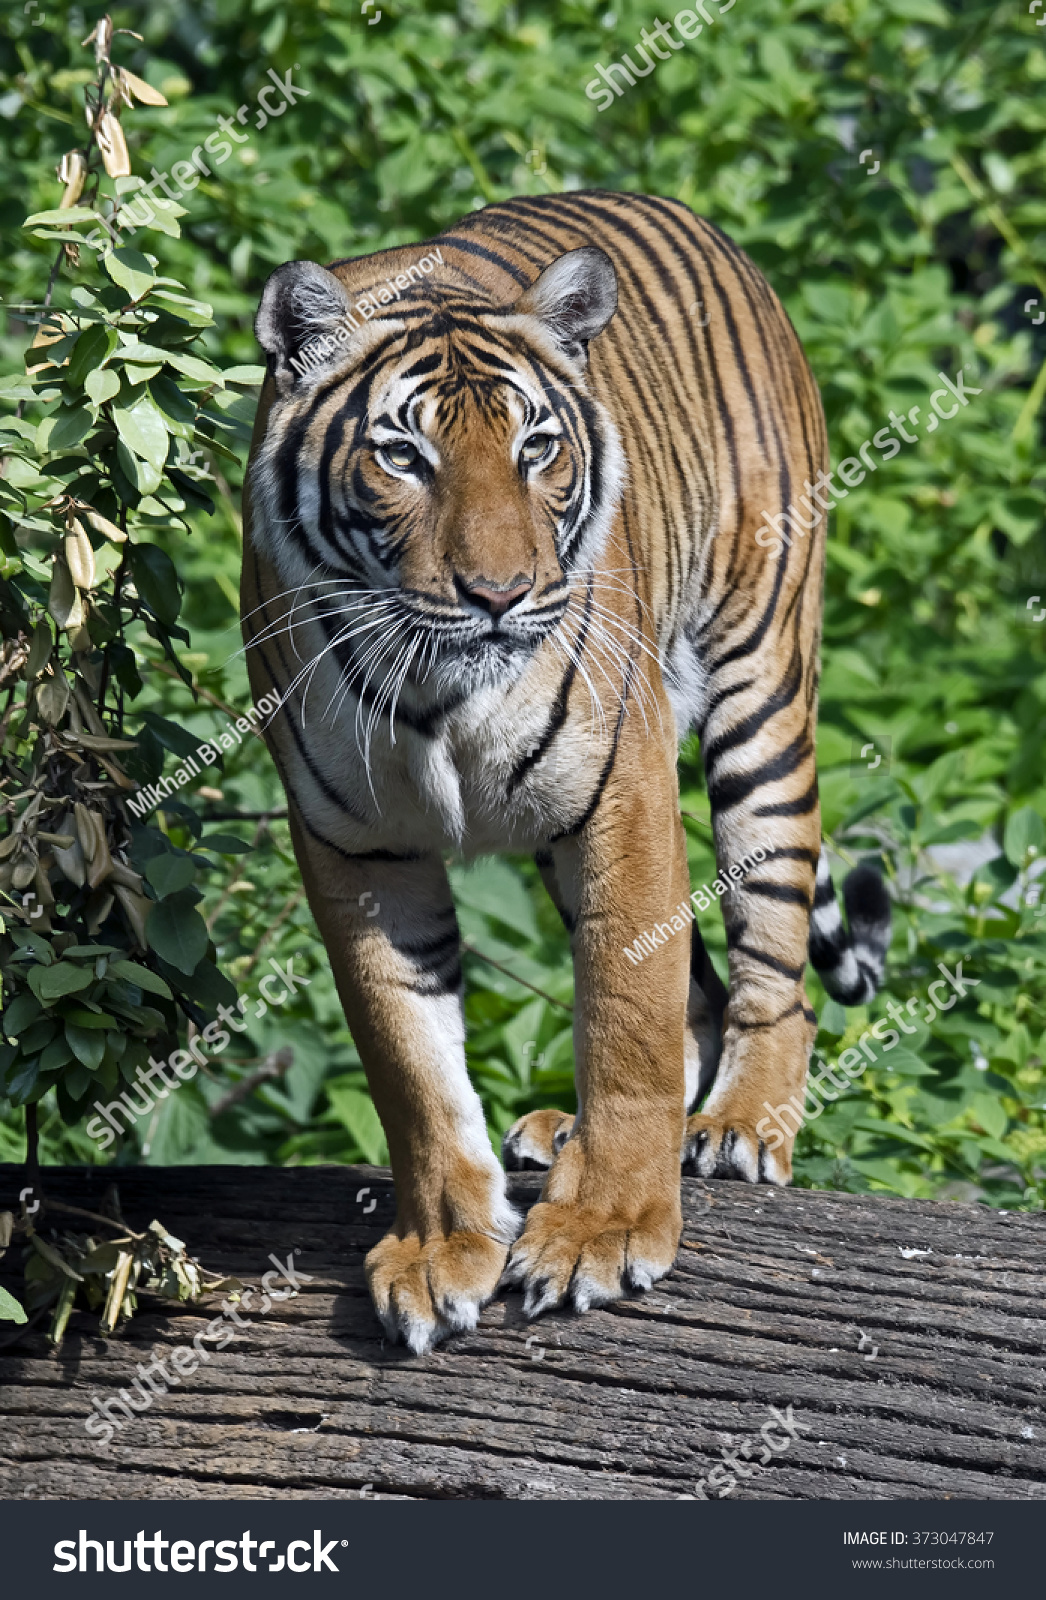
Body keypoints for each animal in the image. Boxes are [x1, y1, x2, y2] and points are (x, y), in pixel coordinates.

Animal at [241, 193, 889, 1356]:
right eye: (401, 456)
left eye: (536, 447)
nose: (500, 595)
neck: (435, 693)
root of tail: (690, 215)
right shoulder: (359, 847)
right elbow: (411, 1058)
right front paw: (442, 1249)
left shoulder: (621, 796)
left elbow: (626, 1019)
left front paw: (606, 1230)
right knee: (700, 990)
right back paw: (566, 1132)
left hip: (760, 689)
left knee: (772, 963)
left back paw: (736, 1126)